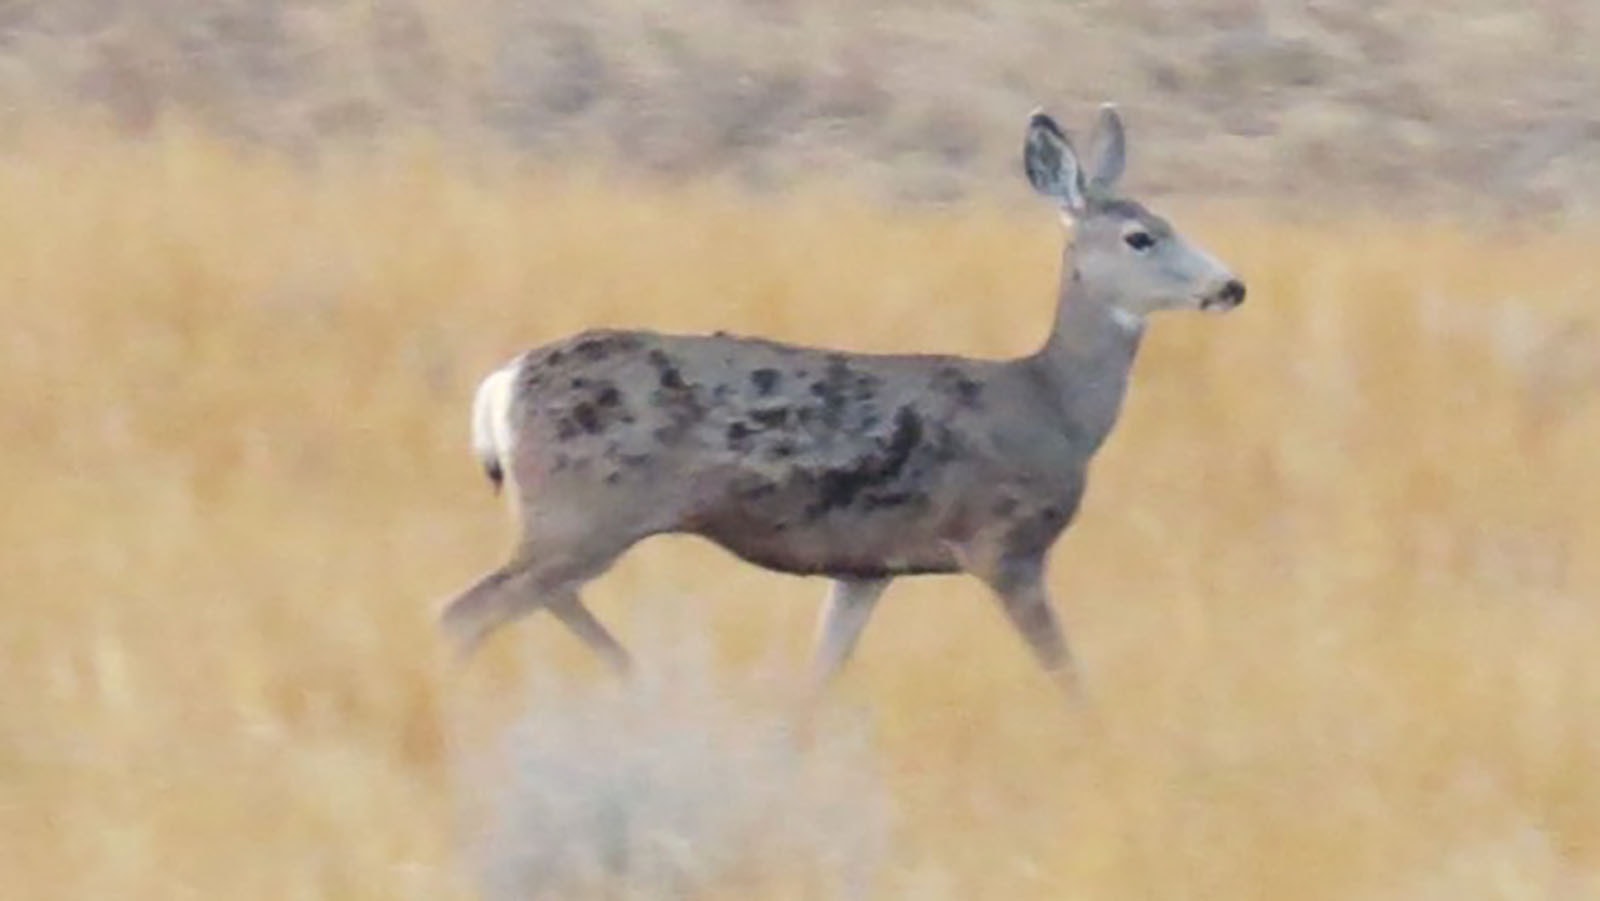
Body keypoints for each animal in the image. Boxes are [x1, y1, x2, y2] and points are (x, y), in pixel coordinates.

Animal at [444, 109, 1241, 694]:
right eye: (1142, 236)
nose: (1231, 285)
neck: (1057, 406)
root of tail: (503, 383)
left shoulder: (865, 565)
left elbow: (822, 674)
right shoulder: (1003, 543)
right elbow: (1067, 674)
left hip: (572, 522)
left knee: (533, 601)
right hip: (583, 512)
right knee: (467, 611)